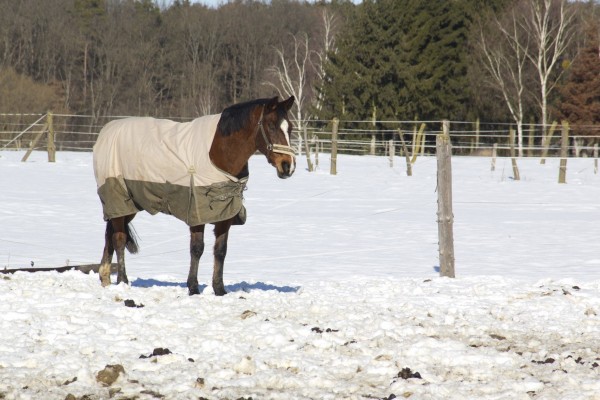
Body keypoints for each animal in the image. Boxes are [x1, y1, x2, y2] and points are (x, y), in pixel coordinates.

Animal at [93, 95, 296, 296]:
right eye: (271, 126)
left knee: (110, 235)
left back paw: (105, 278)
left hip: (128, 205)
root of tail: (107, 131)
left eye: (290, 128)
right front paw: (193, 287)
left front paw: (219, 289)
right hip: (118, 199)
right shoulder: (196, 212)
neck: (219, 152)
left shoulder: (225, 214)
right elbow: (197, 249)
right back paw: (122, 281)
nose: (288, 166)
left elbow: (220, 250)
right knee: (119, 239)